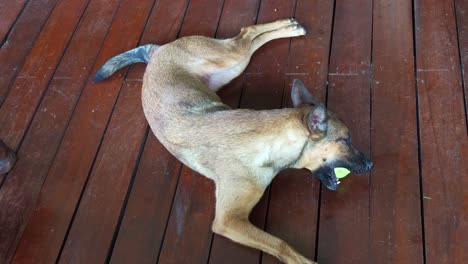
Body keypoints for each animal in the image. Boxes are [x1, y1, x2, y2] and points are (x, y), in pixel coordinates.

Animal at [96, 19, 372, 264]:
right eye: (346, 139)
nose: (371, 165)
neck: (272, 142)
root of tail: (155, 53)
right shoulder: (229, 220)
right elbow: (281, 244)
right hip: (230, 60)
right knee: (245, 36)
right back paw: (290, 27)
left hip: (231, 66)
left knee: (247, 35)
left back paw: (291, 27)